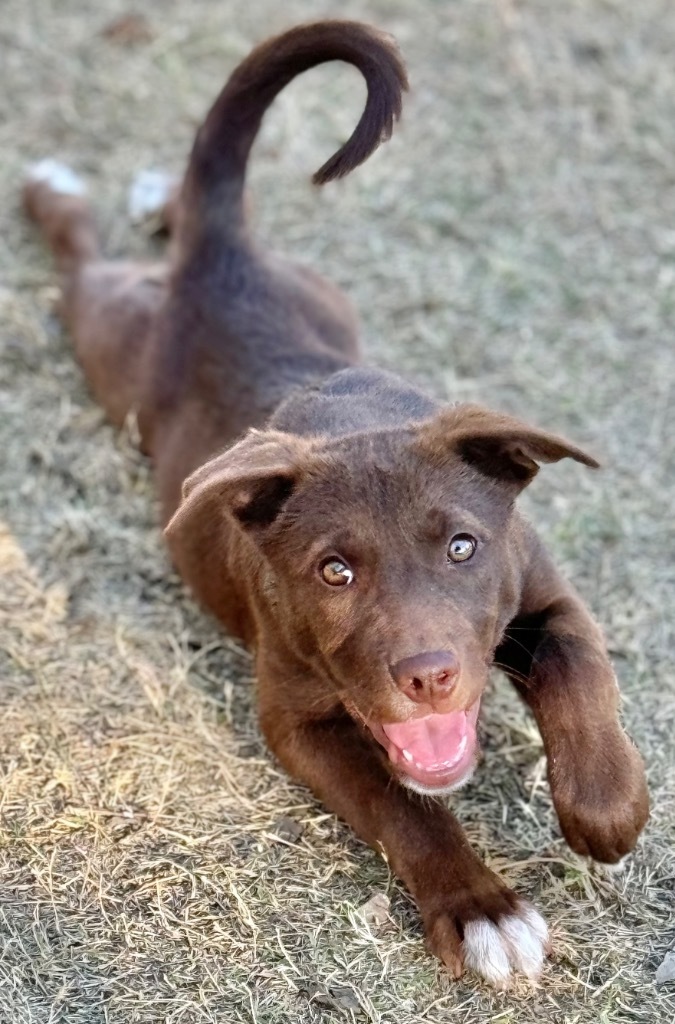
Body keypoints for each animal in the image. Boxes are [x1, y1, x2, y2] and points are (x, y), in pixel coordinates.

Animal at [25, 18, 651, 991]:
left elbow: (584, 671)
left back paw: (159, 195)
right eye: (333, 572)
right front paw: (482, 910)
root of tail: (218, 267)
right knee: (82, 261)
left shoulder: (544, 587)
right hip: (108, 342)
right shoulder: (297, 722)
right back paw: (56, 191)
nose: (427, 677)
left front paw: (605, 805)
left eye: (463, 547)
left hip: (308, 288)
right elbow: (403, 806)